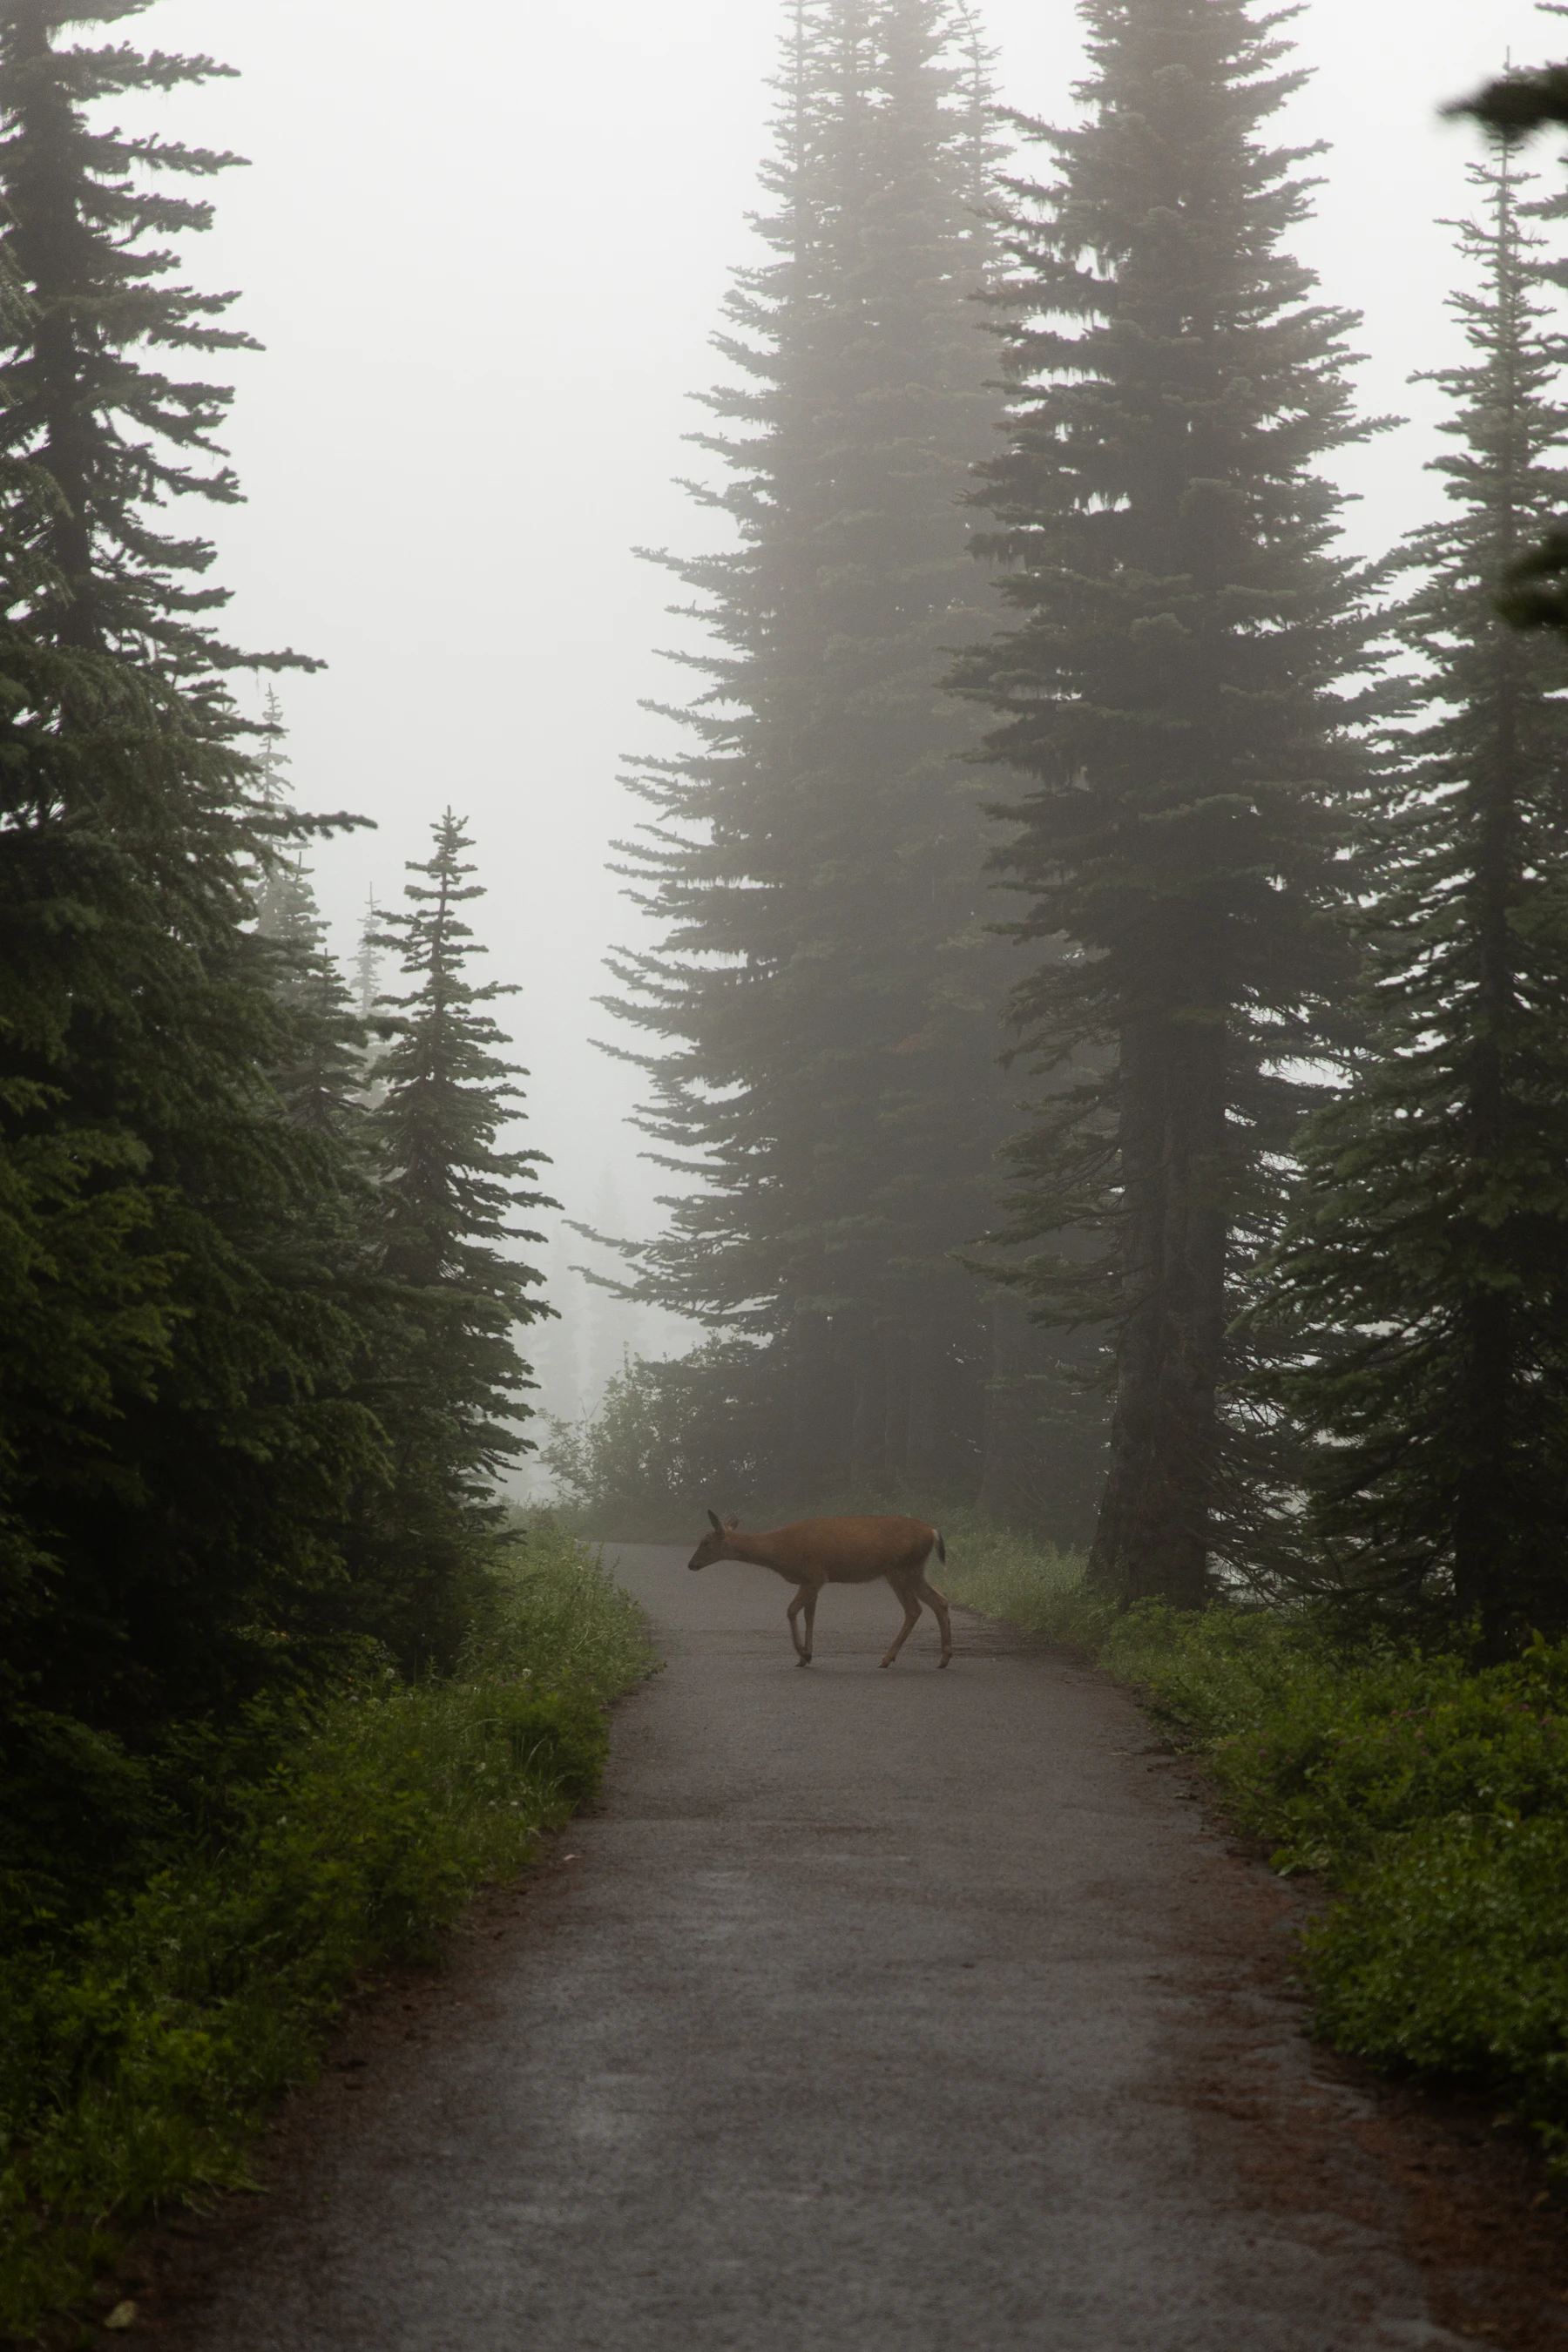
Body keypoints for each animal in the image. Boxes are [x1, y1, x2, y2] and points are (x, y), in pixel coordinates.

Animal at [686, 1511, 953, 1669]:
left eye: (705, 1542)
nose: (691, 1564)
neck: (778, 1550)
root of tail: (933, 1532)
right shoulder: (811, 1580)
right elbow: (809, 1615)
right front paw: (806, 1655)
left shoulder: (814, 1575)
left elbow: (792, 1611)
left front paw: (803, 1654)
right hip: (915, 1569)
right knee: (939, 1601)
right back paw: (943, 1658)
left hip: (899, 1568)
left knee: (914, 1609)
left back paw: (887, 1658)